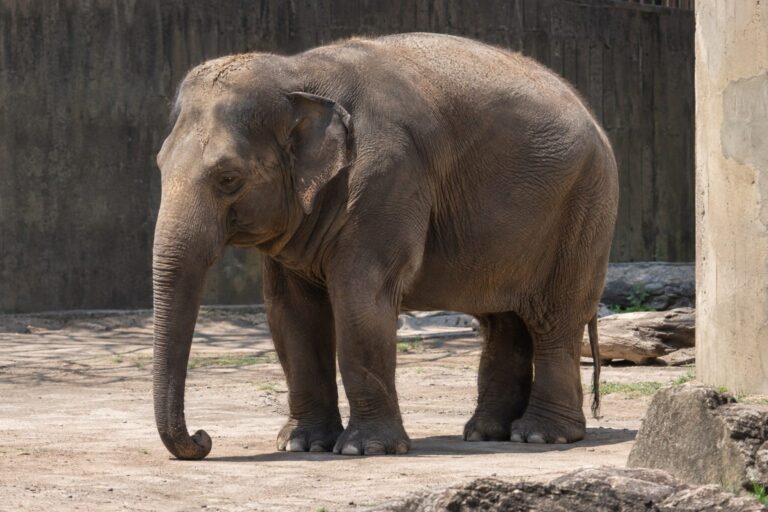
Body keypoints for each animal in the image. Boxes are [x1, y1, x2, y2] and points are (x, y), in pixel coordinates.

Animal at [153, 32, 618, 460]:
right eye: (159, 165)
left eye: (228, 178)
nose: (203, 438)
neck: (297, 73)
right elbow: (292, 311)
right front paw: (302, 444)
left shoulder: (386, 175)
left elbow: (361, 297)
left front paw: (365, 449)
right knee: (503, 320)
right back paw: (487, 433)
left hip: (583, 209)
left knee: (553, 320)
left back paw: (540, 436)